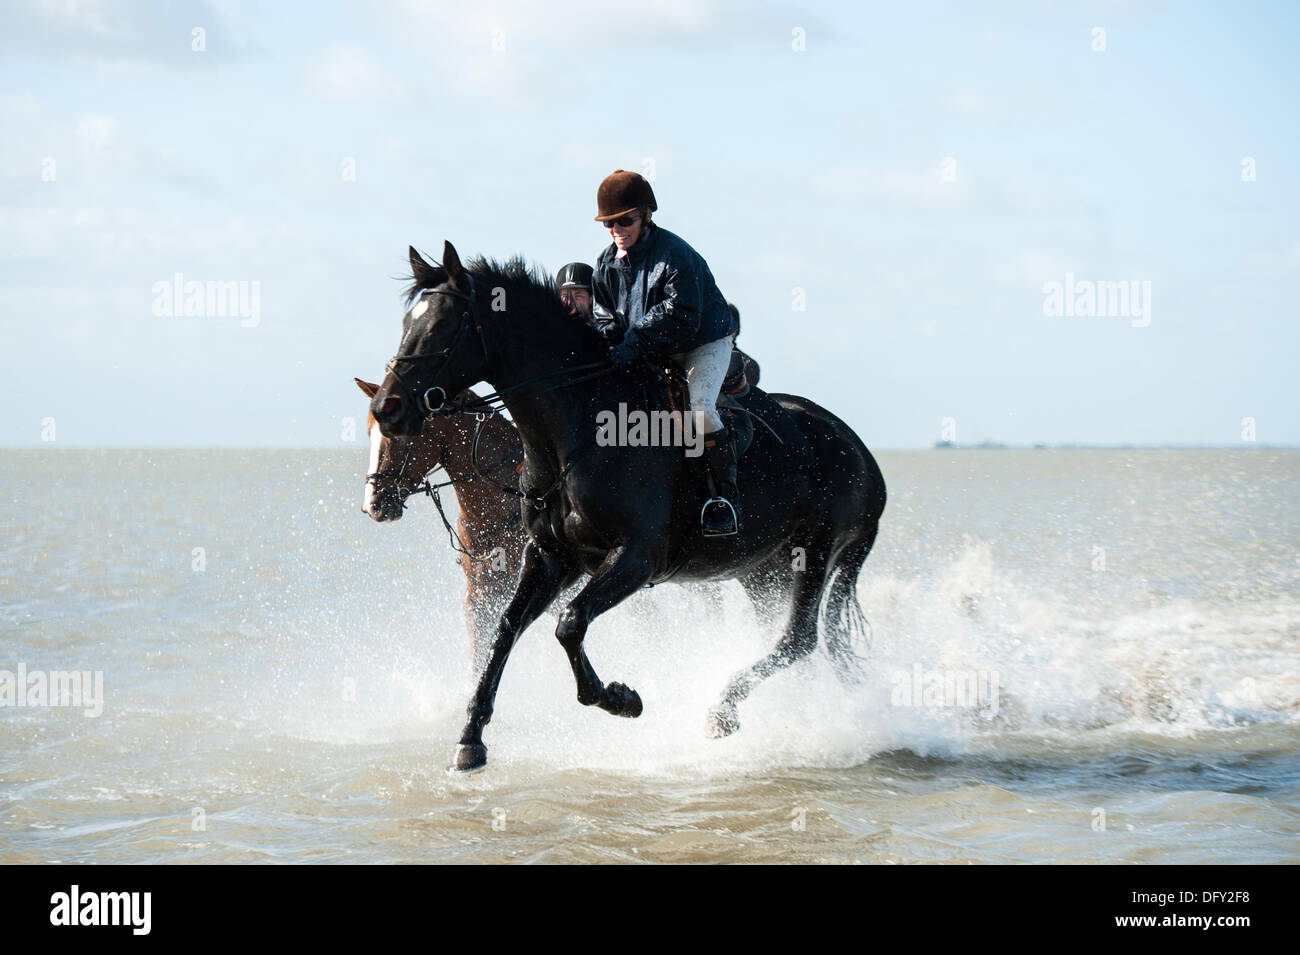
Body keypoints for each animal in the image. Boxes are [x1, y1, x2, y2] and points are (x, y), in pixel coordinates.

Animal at [371, 242, 889, 774]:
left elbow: (570, 624)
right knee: (790, 639)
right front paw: (470, 739)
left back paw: (724, 711)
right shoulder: (550, 557)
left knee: (798, 639)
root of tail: (858, 448)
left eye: (443, 325)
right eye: (407, 321)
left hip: (819, 550)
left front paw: (620, 698)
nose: (386, 409)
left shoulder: (637, 558)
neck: (575, 434)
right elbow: (506, 629)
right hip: (764, 571)